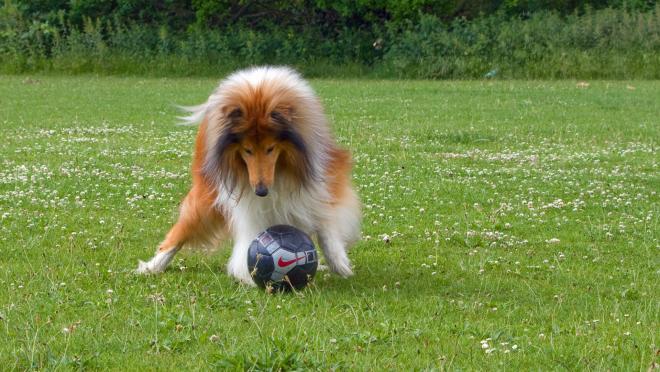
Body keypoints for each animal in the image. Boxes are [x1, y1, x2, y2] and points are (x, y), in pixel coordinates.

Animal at [135, 66, 360, 284]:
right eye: (247, 150)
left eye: (270, 148)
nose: (261, 191)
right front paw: (247, 271)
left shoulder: (322, 178)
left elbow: (324, 219)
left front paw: (338, 262)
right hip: (207, 192)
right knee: (182, 229)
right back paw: (154, 265)